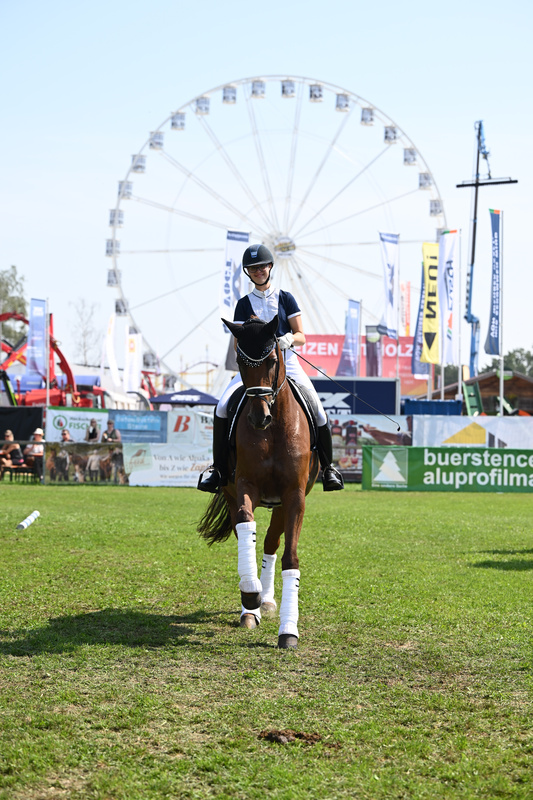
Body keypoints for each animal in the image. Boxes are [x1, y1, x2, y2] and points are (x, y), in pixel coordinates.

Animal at [197, 316, 318, 648]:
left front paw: (289, 630)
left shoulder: (295, 496)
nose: (258, 418)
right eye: (240, 360)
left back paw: (268, 600)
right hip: (231, 492)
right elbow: (245, 524)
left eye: (274, 359)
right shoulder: (244, 485)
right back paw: (251, 607)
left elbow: (290, 557)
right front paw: (250, 595)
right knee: (247, 534)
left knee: (270, 543)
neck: (274, 429)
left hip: (280, 504)